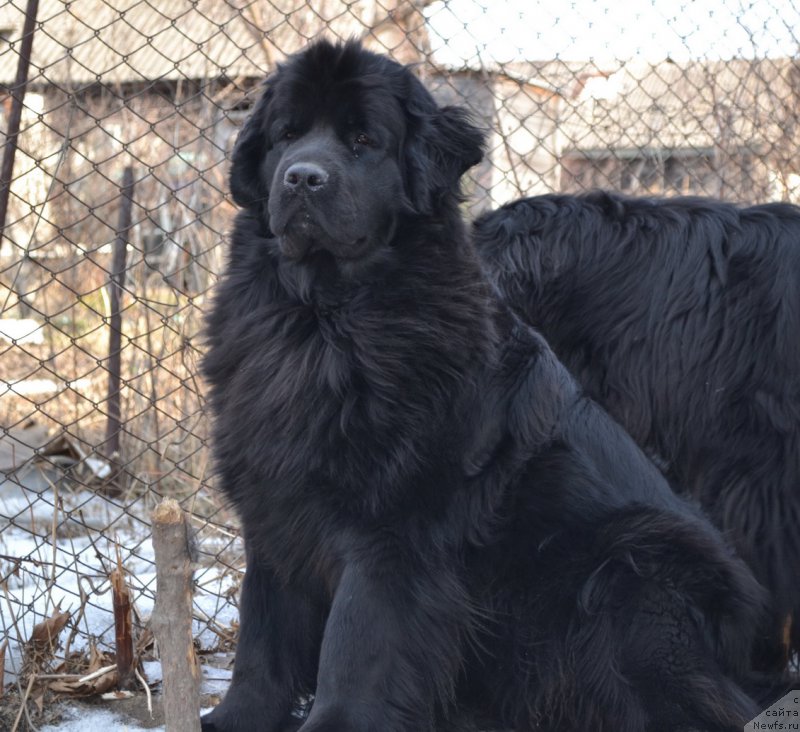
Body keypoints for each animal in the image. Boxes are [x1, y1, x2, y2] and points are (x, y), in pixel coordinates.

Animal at [200, 41, 764, 732]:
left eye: (363, 141)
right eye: (287, 135)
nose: (303, 177)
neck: (322, 318)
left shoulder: (395, 527)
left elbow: (357, 644)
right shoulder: (274, 497)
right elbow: (263, 630)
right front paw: (235, 717)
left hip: (631, 574)